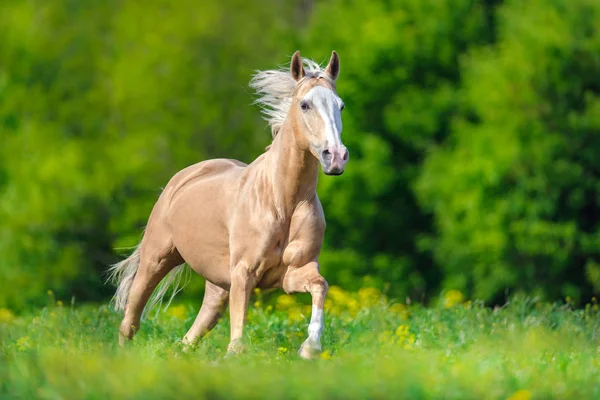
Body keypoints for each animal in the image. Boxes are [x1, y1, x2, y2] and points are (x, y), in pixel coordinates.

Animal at [110, 50, 350, 360]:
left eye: (340, 105)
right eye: (305, 104)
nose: (335, 157)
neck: (284, 202)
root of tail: (181, 179)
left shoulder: (293, 273)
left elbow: (320, 286)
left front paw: (310, 348)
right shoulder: (244, 273)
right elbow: (238, 338)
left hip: (217, 285)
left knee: (192, 334)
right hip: (156, 259)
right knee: (130, 320)